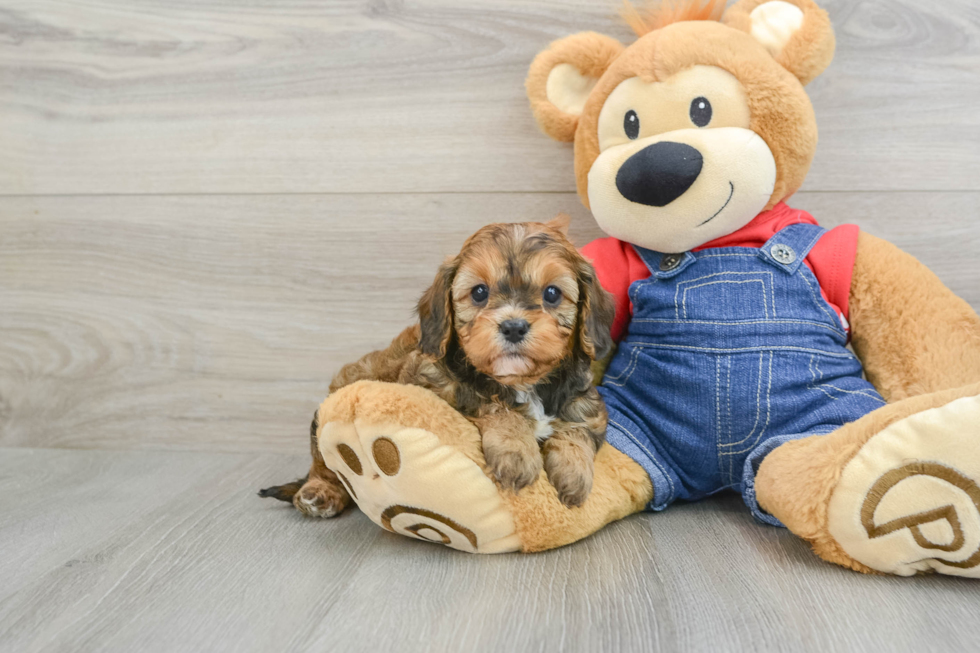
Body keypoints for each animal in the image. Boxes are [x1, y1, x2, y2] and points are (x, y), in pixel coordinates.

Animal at [260, 216, 612, 512]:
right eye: (479, 292)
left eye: (552, 293)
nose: (513, 327)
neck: (522, 382)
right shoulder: (437, 387)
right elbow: (492, 405)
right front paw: (517, 452)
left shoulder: (586, 405)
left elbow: (577, 430)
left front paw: (574, 474)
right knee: (325, 465)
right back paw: (319, 492)